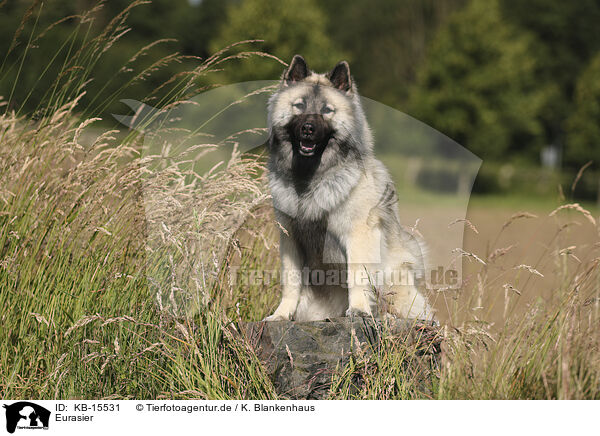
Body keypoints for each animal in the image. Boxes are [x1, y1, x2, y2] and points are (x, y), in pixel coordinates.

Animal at [264, 54, 434, 322]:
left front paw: (359, 310)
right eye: (299, 106)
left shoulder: (358, 234)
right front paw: (280, 315)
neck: (311, 177)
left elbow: (357, 275)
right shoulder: (290, 239)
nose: (308, 129)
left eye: (327, 110)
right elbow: (290, 283)